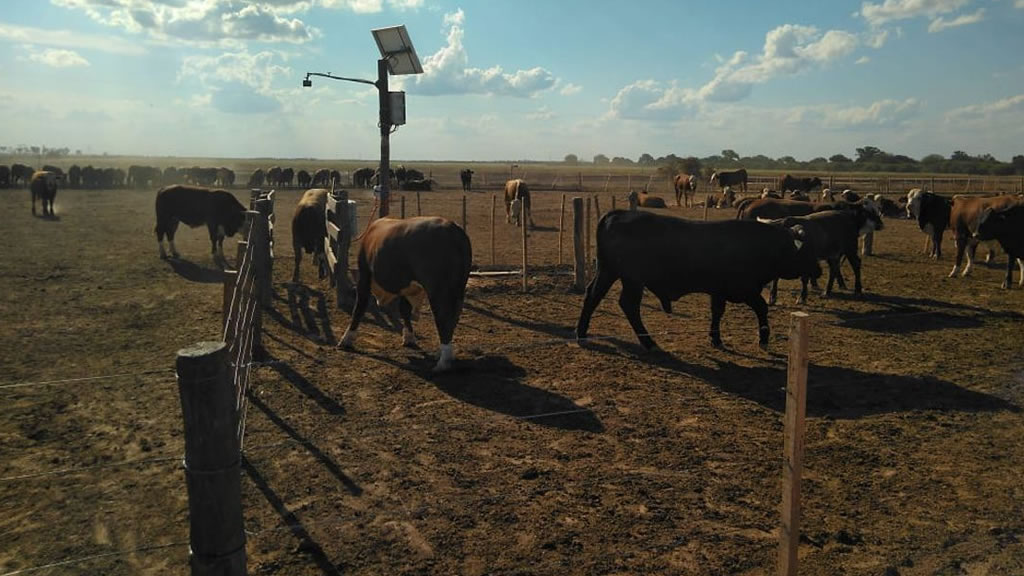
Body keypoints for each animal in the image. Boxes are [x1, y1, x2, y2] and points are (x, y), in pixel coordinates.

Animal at [339, 216, 475, 373]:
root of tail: (452, 228)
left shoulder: (364, 275)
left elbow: (359, 308)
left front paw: (347, 339)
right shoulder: (407, 288)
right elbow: (404, 310)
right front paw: (409, 337)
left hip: (438, 290)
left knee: (443, 318)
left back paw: (443, 362)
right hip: (458, 289)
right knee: (453, 318)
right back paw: (442, 353)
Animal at [577, 208, 823, 348]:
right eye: (807, 250)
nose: (819, 271)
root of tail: (617, 214)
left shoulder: (719, 291)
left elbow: (717, 313)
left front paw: (715, 338)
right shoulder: (746, 290)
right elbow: (762, 308)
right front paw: (763, 338)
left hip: (609, 272)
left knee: (593, 295)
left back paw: (581, 332)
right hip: (631, 280)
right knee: (628, 305)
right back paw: (647, 341)